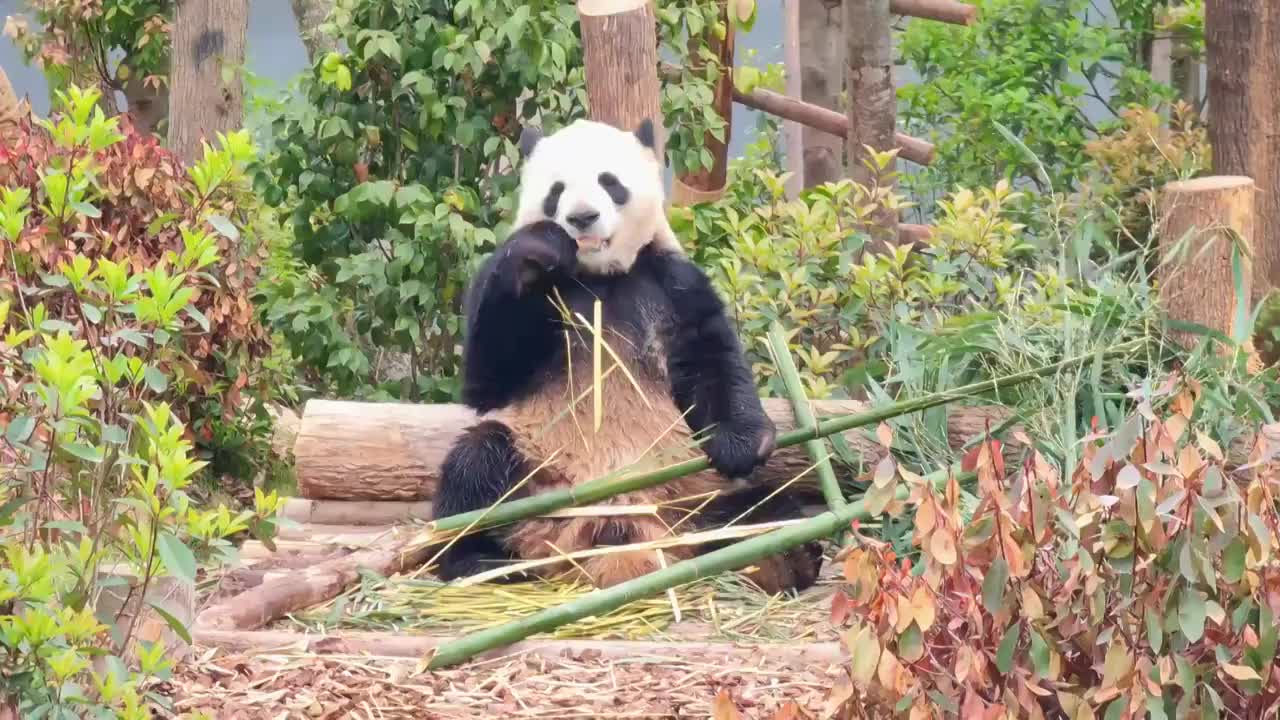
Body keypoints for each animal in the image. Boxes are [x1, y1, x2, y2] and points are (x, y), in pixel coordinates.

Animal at [430, 116, 824, 589]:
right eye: (557, 190)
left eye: (609, 182)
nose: (582, 217)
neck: (598, 276)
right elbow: (486, 379)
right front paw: (539, 248)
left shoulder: (670, 280)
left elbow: (710, 357)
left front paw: (743, 444)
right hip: (539, 473)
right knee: (476, 466)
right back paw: (479, 563)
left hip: (689, 498)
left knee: (769, 510)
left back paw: (785, 556)